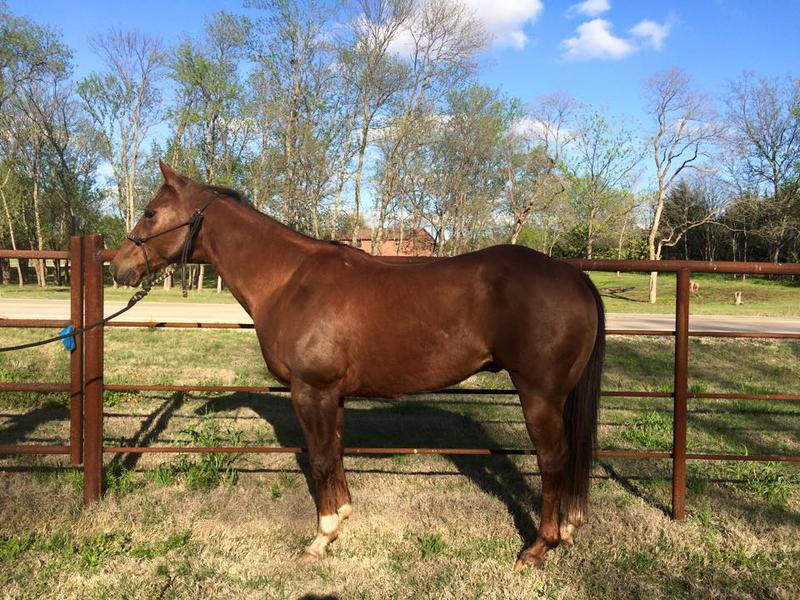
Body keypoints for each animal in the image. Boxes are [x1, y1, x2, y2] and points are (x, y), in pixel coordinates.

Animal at [110, 162, 605, 570]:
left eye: (151, 213)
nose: (118, 266)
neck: (289, 280)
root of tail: (574, 275)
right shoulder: (333, 395)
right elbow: (336, 451)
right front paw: (342, 518)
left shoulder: (311, 390)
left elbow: (321, 458)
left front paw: (321, 537)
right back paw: (565, 530)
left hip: (539, 395)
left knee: (552, 460)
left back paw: (538, 548)